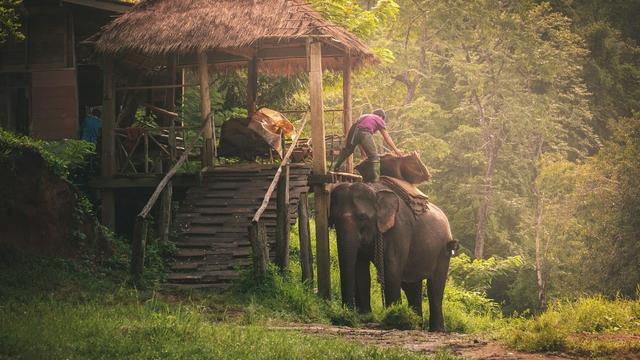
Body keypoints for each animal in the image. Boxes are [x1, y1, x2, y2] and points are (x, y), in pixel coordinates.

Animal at [330, 181, 456, 330]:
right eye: (333, 218)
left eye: (362, 217)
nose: (345, 316)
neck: (374, 190)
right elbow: (361, 271)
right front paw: (365, 317)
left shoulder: (399, 229)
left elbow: (392, 269)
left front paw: (393, 319)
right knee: (412, 286)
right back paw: (416, 324)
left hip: (443, 252)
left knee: (435, 287)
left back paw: (436, 329)